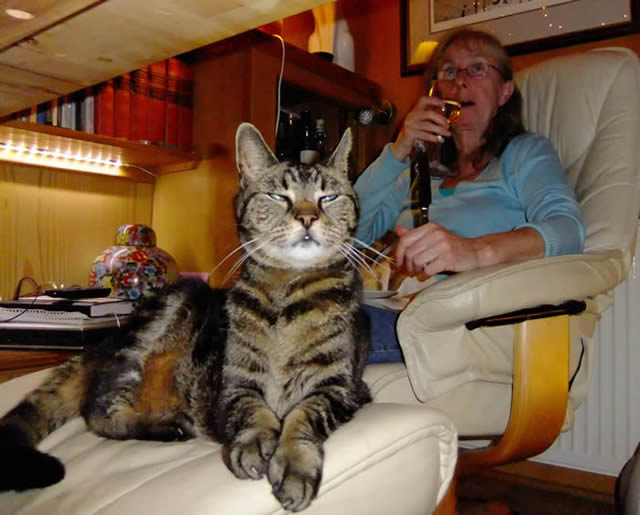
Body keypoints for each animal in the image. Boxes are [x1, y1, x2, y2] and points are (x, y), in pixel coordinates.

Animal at [0, 122, 371, 513]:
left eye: (328, 197)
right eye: (278, 196)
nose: (307, 216)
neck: (287, 290)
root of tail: (106, 342)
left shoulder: (341, 387)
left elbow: (305, 414)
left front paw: (296, 464)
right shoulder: (235, 382)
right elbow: (252, 410)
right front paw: (254, 441)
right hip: (161, 319)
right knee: (98, 411)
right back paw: (164, 426)